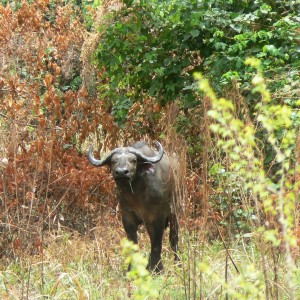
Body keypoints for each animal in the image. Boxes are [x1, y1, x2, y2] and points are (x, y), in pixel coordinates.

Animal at [88, 142, 179, 274]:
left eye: (133, 160)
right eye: (114, 161)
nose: (121, 172)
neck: (137, 195)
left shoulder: (159, 217)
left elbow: (157, 244)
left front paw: (156, 269)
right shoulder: (127, 217)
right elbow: (134, 244)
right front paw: (132, 268)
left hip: (175, 213)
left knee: (173, 239)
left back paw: (178, 264)